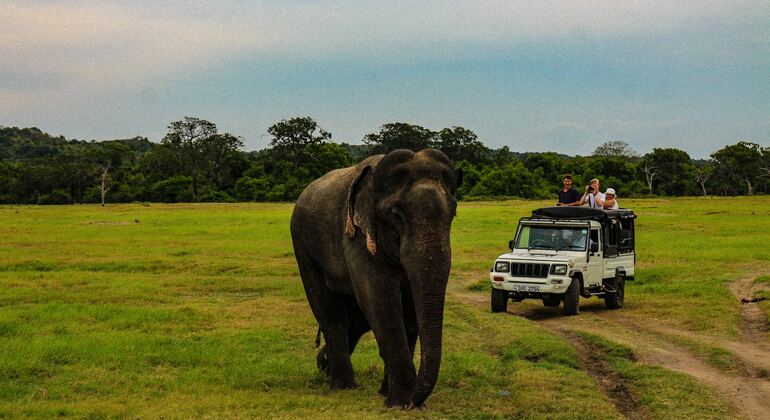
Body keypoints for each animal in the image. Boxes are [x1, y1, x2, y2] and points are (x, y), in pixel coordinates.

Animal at [286, 148, 456, 406]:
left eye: (453, 215)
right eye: (396, 216)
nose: (415, 401)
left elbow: (407, 307)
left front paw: (390, 396)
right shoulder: (357, 235)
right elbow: (378, 297)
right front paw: (399, 403)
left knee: (354, 319)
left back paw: (325, 365)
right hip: (302, 244)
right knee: (330, 311)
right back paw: (342, 385)